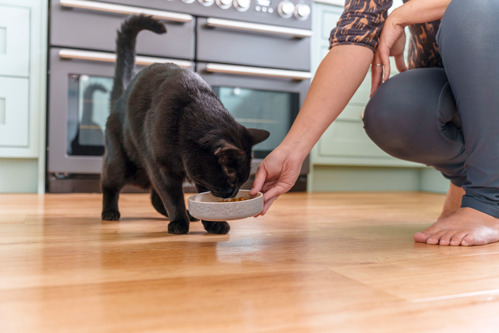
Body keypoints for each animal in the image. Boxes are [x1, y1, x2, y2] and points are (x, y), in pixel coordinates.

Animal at [101, 14, 270, 233]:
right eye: (232, 180)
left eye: (242, 181)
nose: (233, 193)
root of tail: (120, 98)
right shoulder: (161, 168)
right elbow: (172, 197)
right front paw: (179, 222)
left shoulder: (201, 175)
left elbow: (192, 195)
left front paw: (212, 223)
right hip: (119, 162)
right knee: (110, 185)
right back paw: (110, 212)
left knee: (155, 197)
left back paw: (189, 216)